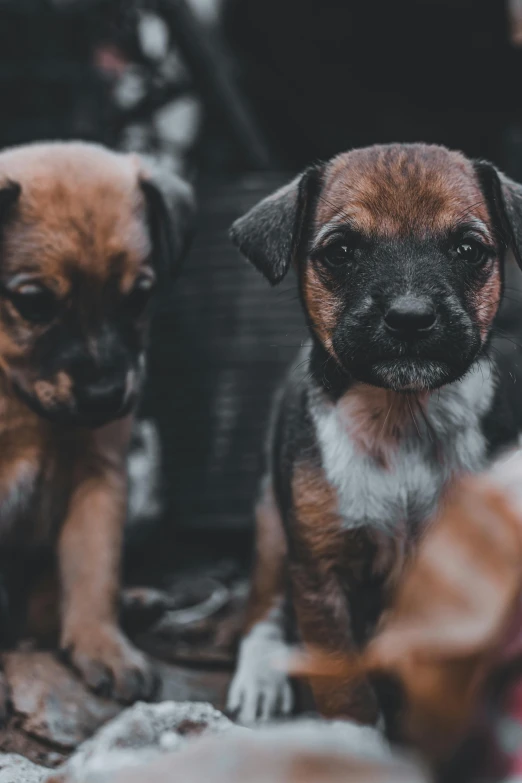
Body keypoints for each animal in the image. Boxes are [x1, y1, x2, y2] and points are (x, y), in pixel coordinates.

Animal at [0, 141, 193, 712]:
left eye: (138, 296)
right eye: (33, 302)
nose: (107, 396)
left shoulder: (98, 478)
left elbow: (93, 573)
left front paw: (103, 646)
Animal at [226, 144, 522, 724]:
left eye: (468, 249)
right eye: (341, 251)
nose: (410, 317)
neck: (402, 416)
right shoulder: (320, 574)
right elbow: (346, 690)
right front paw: (354, 737)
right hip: (274, 525)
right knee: (263, 603)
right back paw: (261, 677)